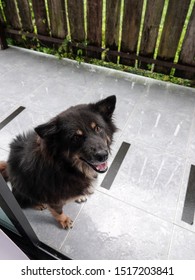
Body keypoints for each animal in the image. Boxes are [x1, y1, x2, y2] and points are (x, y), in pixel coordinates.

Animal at [0, 95, 116, 229]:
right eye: (76, 137)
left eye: (98, 128)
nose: (102, 155)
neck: (68, 168)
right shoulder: (53, 198)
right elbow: (58, 211)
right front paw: (64, 221)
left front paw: (80, 197)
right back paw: (38, 204)